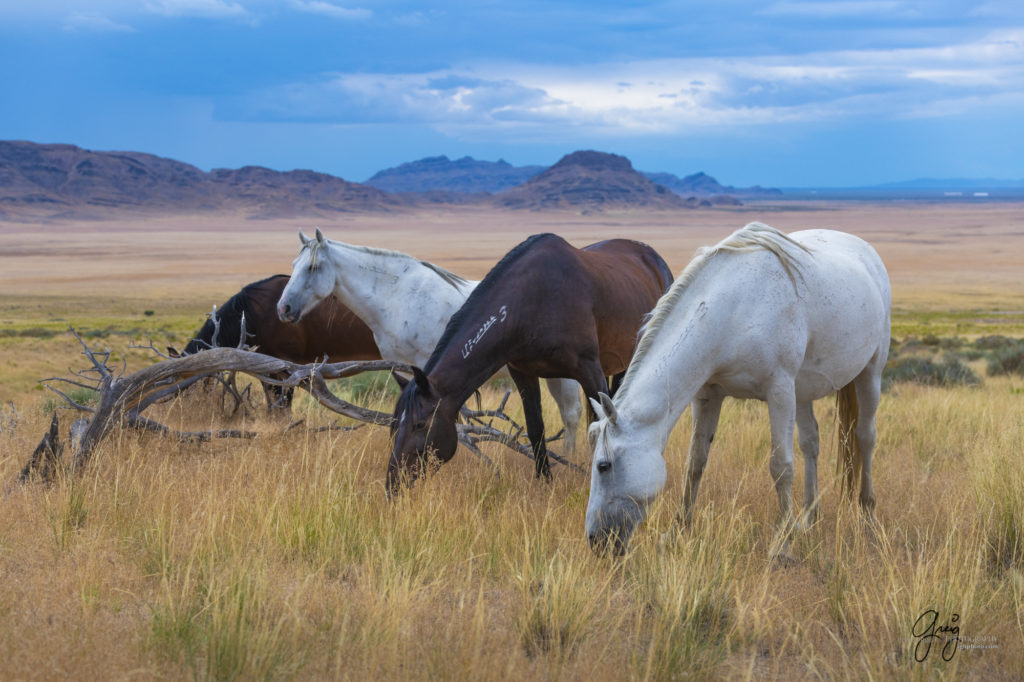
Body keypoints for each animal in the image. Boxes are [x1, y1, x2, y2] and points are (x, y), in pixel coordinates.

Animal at [276, 228, 589, 450]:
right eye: (293, 264)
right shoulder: (403, 368)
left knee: (571, 414)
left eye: (313, 267)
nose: (284, 308)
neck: (397, 297)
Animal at [387, 231, 675, 491]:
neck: (532, 303)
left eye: (420, 424)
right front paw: (544, 481)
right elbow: (536, 428)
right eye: (394, 423)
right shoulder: (523, 374)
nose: (393, 483)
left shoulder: (589, 370)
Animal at [589, 223, 892, 552]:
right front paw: (679, 529)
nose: (595, 540)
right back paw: (808, 519)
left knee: (866, 438)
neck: (734, 310)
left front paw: (782, 543)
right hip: (804, 391)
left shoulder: (779, 391)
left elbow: (781, 466)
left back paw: (867, 514)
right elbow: (695, 461)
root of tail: (865, 250)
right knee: (811, 443)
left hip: (870, 373)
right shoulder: (708, 394)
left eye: (603, 466)